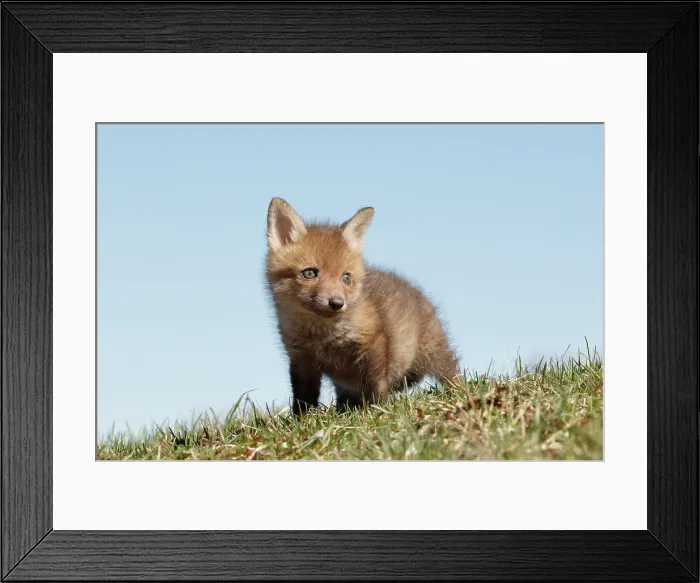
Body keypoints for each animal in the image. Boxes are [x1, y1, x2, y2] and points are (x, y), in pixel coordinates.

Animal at [265, 197, 461, 416]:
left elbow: (377, 384)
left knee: (451, 372)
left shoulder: (373, 341)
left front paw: (378, 411)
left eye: (346, 277)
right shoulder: (301, 359)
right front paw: (303, 420)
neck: (323, 335)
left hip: (434, 354)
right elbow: (303, 399)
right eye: (309, 273)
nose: (337, 303)